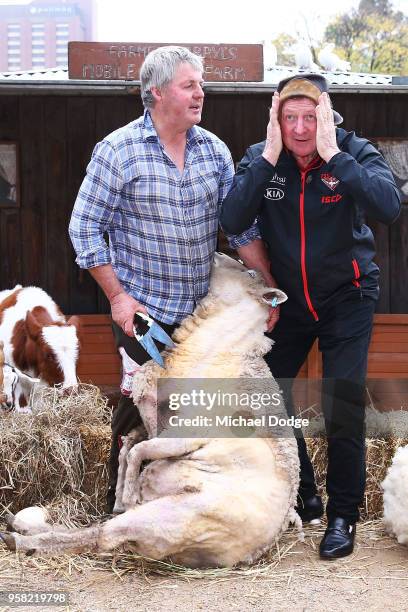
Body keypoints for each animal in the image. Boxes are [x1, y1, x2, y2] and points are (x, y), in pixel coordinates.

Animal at [0, 253, 300, 568]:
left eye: (250, 272)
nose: (219, 254)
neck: (221, 351)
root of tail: (256, 548)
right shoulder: (156, 421)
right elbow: (128, 447)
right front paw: (123, 491)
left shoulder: (184, 433)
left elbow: (136, 452)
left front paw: (128, 494)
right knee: (100, 530)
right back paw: (21, 526)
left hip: (169, 517)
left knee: (102, 535)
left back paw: (25, 539)